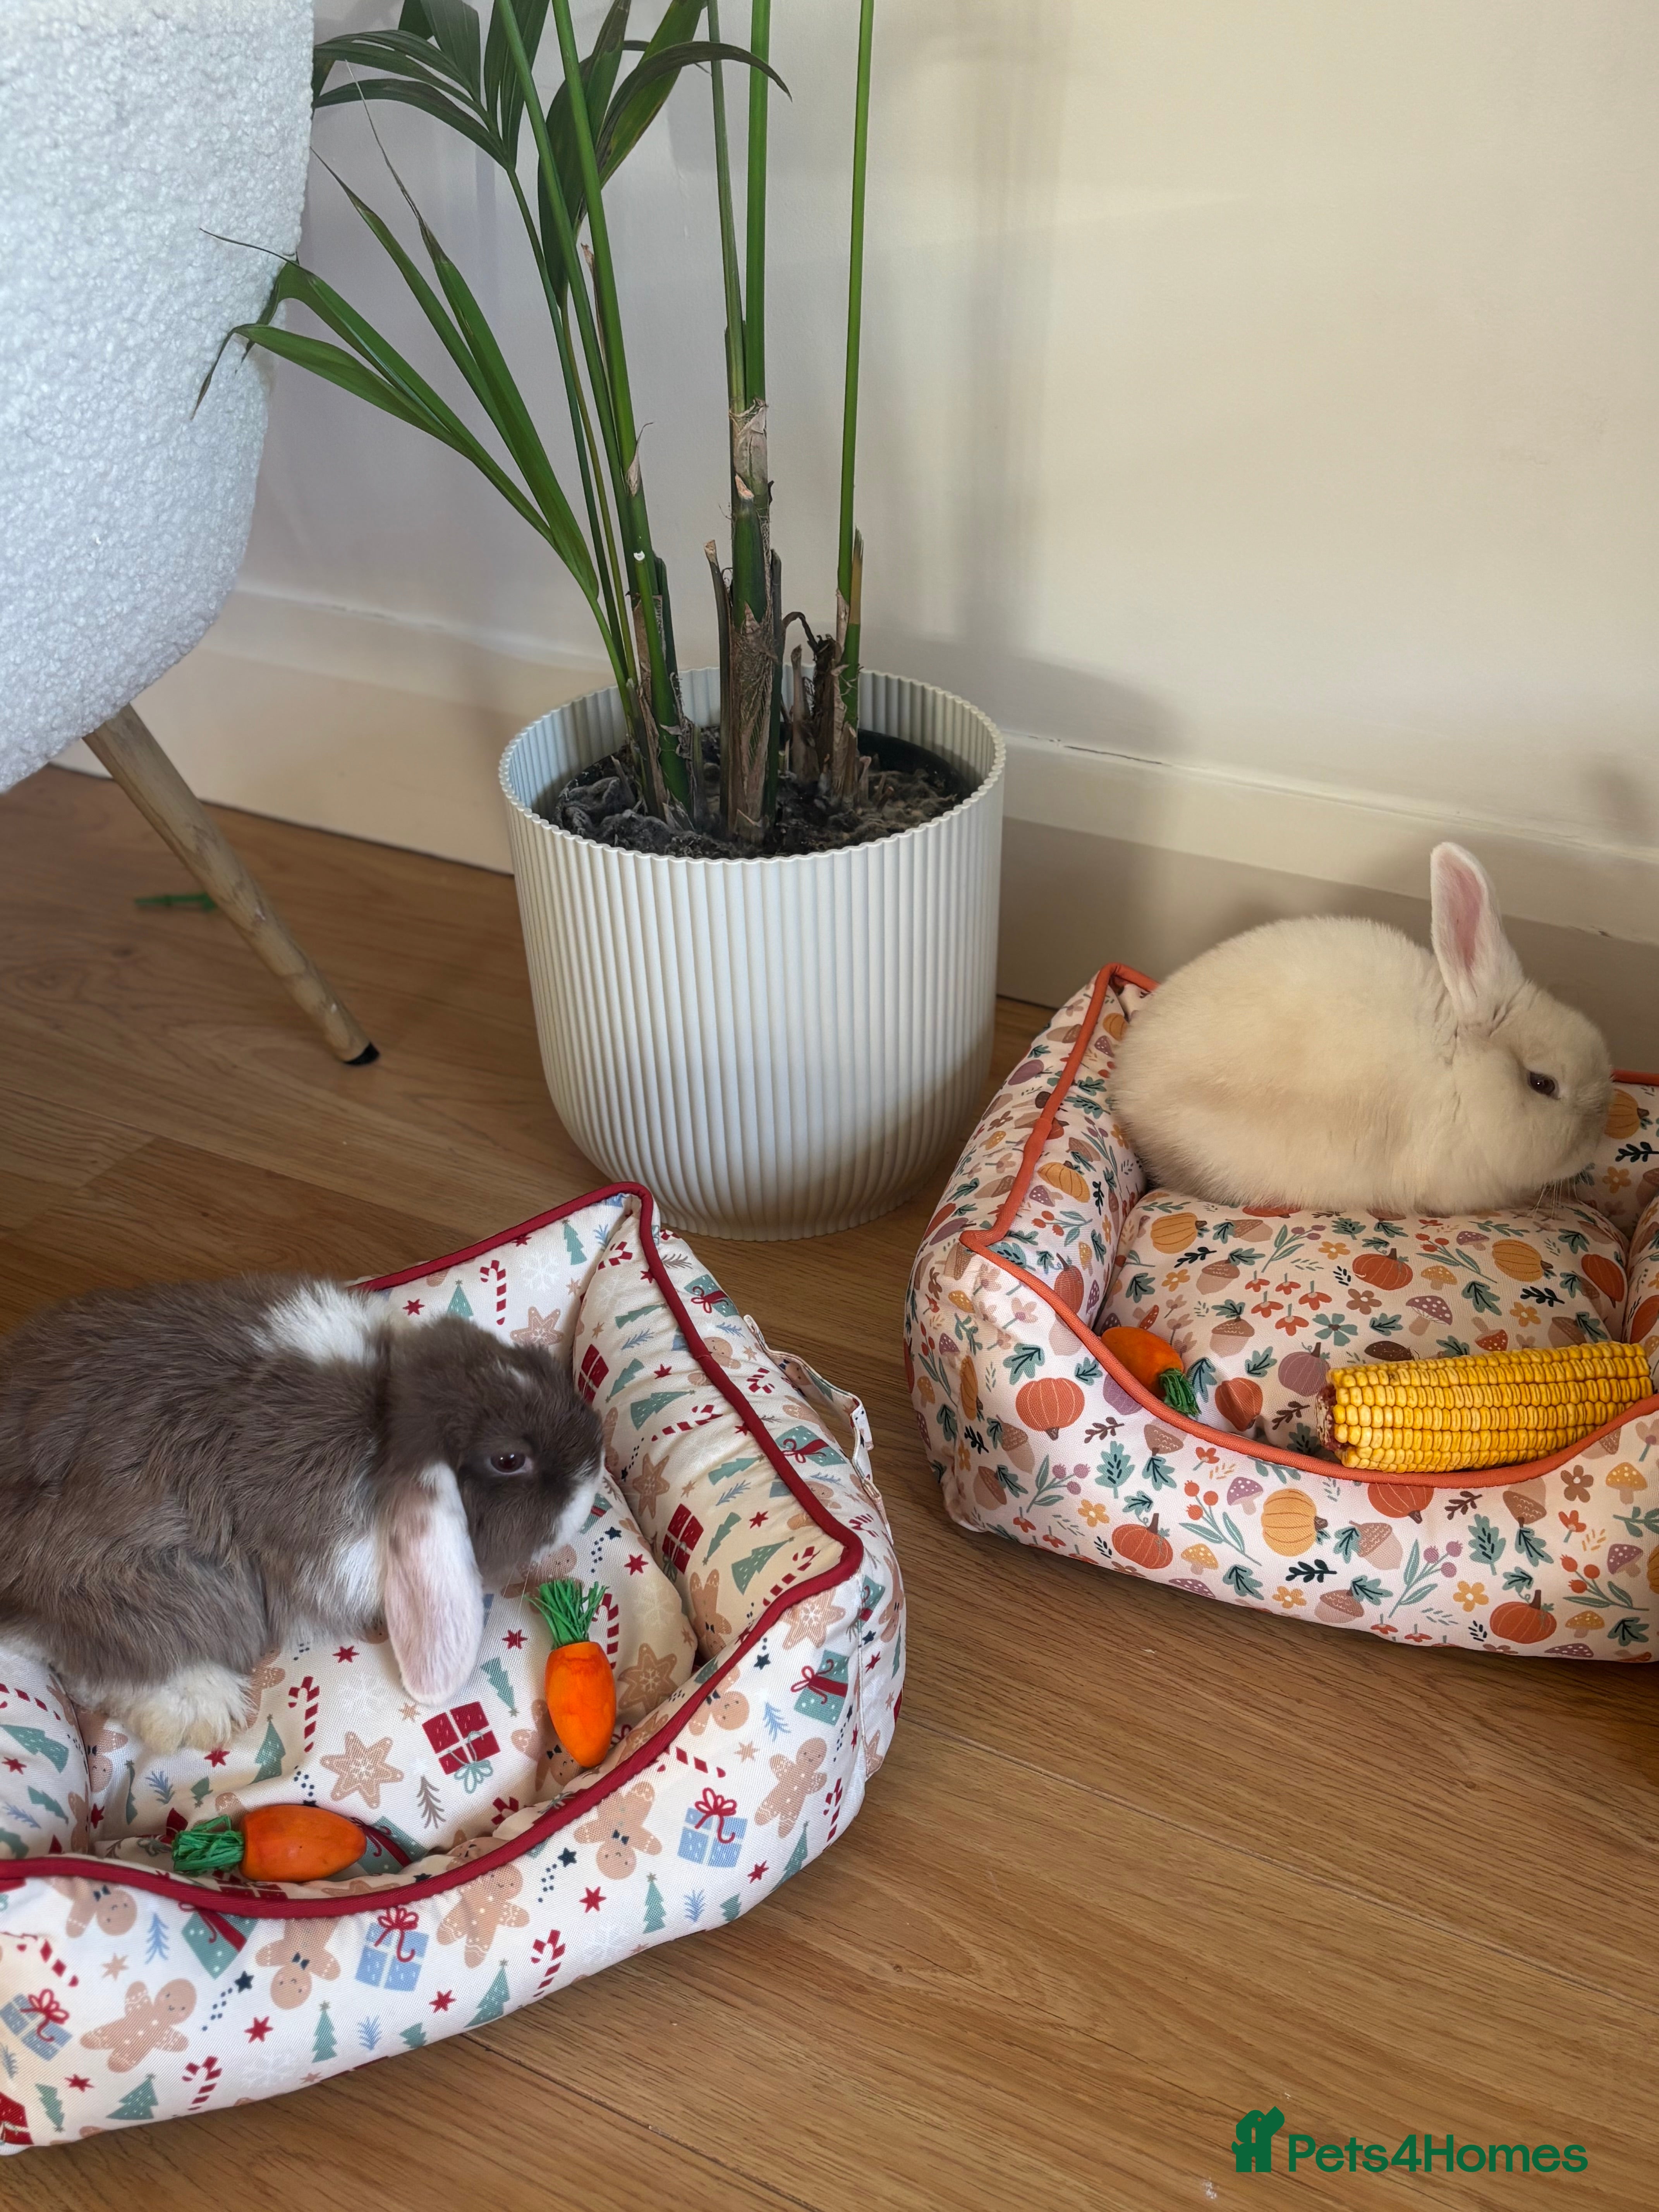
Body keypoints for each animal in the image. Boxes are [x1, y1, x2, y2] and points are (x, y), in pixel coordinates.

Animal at [0, 1274, 603, 1755]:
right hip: (146, 1583)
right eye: (509, 1460)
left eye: (539, 1365)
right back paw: (203, 1707)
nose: (595, 1470)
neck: (384, 1421)